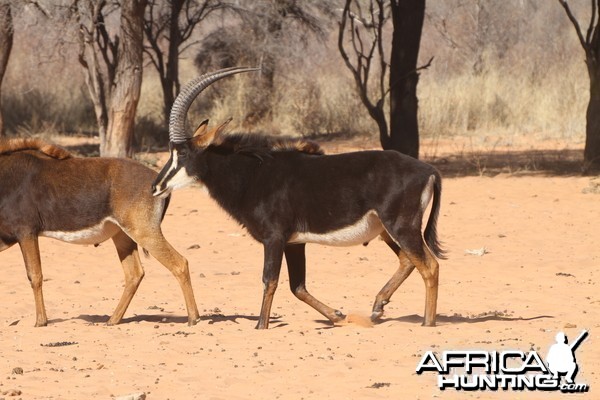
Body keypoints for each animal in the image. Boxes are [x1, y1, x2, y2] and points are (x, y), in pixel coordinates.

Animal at [0, 139, 202, 326]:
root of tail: (158, 182)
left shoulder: (26, 232)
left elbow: (35, 276)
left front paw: (41, 322)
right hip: (122, 236)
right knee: (134, 273)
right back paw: (113, 320)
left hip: (143, 232)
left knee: (179, 264)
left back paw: (194, 318)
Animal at [154, 67, 446, 330]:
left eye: (183, 154)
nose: (156, 186)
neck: (254, 173)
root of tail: (428, 170)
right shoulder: (294, 243)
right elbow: (298, 287)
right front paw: (337, 315)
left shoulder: (274, 238)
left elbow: (269, 280)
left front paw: (261, 326)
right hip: (387, 230)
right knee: (408, 260)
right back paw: (377, 308)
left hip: (401, 227)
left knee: (430, 266)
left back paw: (428, 322)